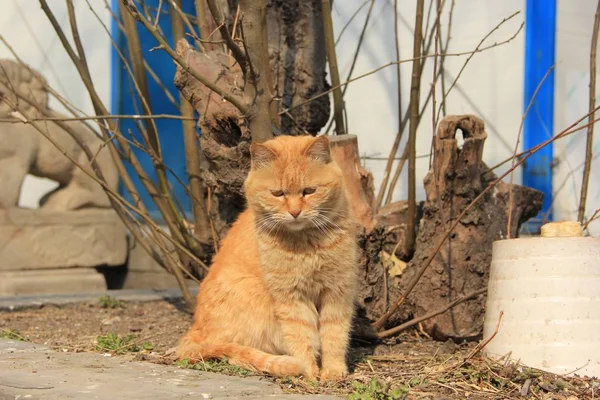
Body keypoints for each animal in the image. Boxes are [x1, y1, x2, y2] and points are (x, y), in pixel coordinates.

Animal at [176, 135, 358, 382]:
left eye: (309, 191)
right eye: (278, 193)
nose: (295, 212)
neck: (306, 244)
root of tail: (195, 329)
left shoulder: (338, 292)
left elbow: (334, 336)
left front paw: (333, 371)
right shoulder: (291, 298)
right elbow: (302, 337)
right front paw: (310, 373)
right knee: (234, 353)